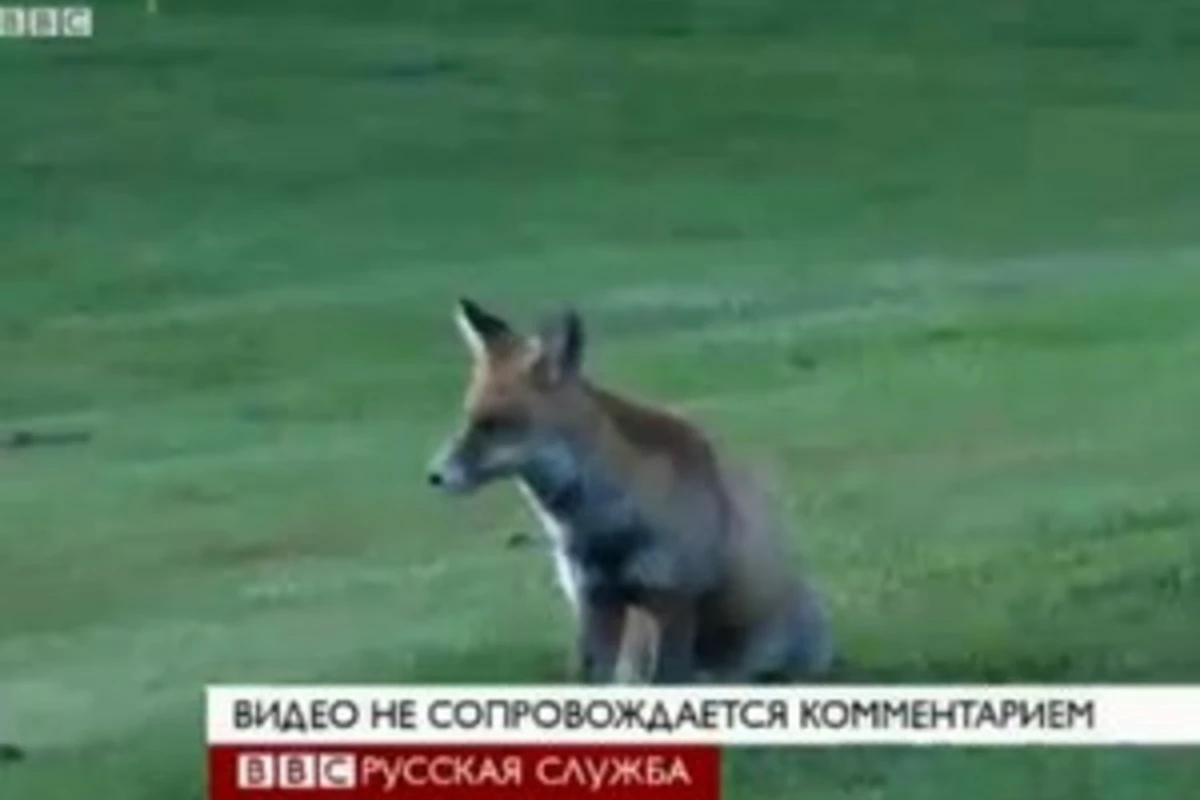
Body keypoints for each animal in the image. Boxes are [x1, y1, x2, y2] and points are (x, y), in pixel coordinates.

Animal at [426, 298, 834, 684]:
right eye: (468, 417)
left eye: (494, 424)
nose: (434, 475)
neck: (600, 526)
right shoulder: (593, 596)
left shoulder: (673, 594)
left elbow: (669, 678)